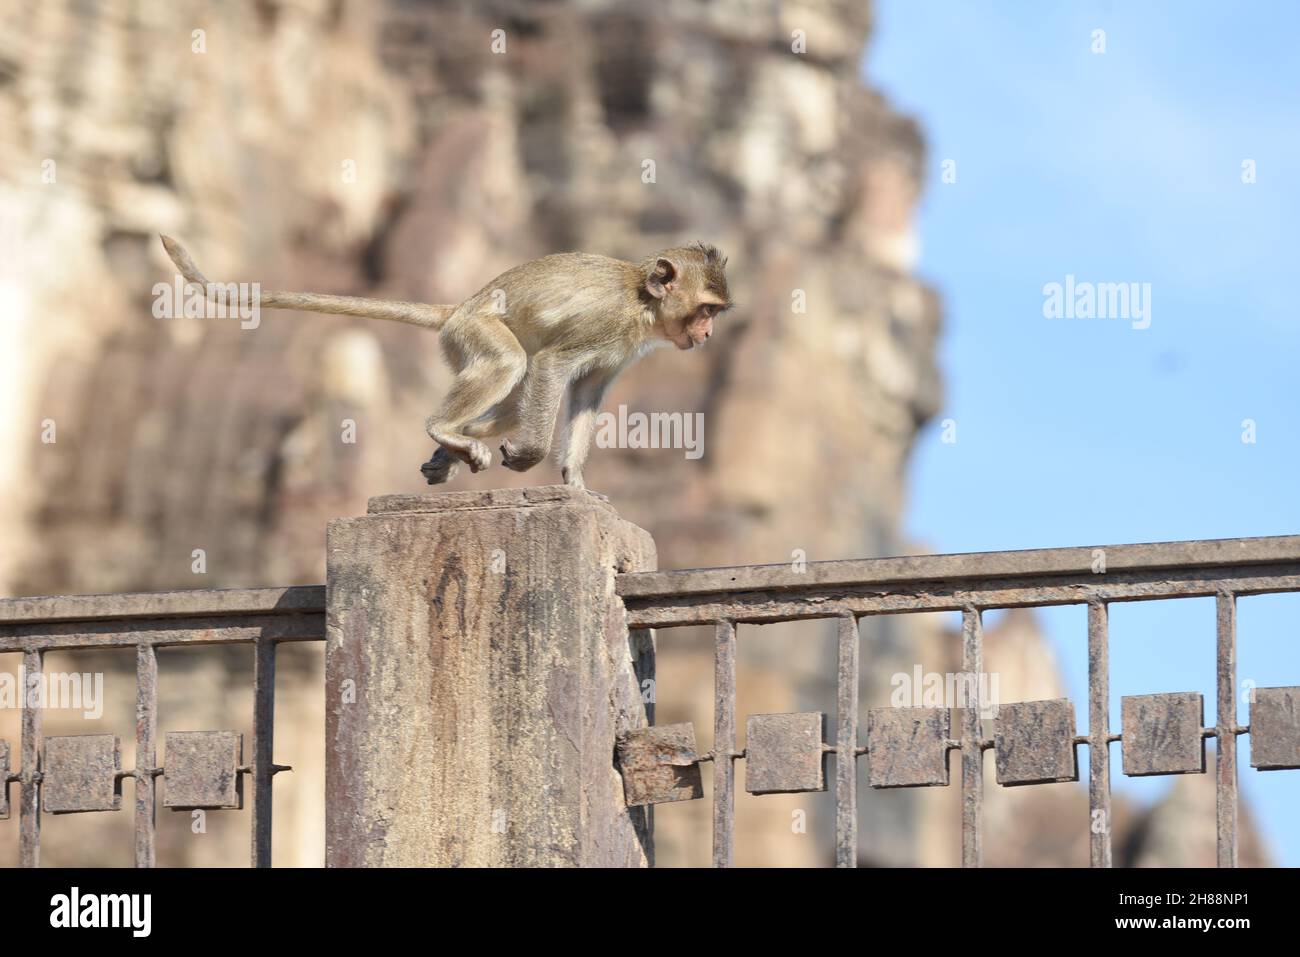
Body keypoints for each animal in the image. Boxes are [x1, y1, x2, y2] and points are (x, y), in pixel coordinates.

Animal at [159, 235, 733, 494]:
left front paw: (574, 482)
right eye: (707, 310)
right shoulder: (605, 324)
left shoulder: (619, 349)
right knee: (513, 363)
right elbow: (552, 366)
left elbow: (585, 396)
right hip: (474, 332)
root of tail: (457, 308)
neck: (642, 302)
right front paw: (531, 456)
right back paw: (444, 430)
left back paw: (453, 446)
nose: (707, 335)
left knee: (515, 389)